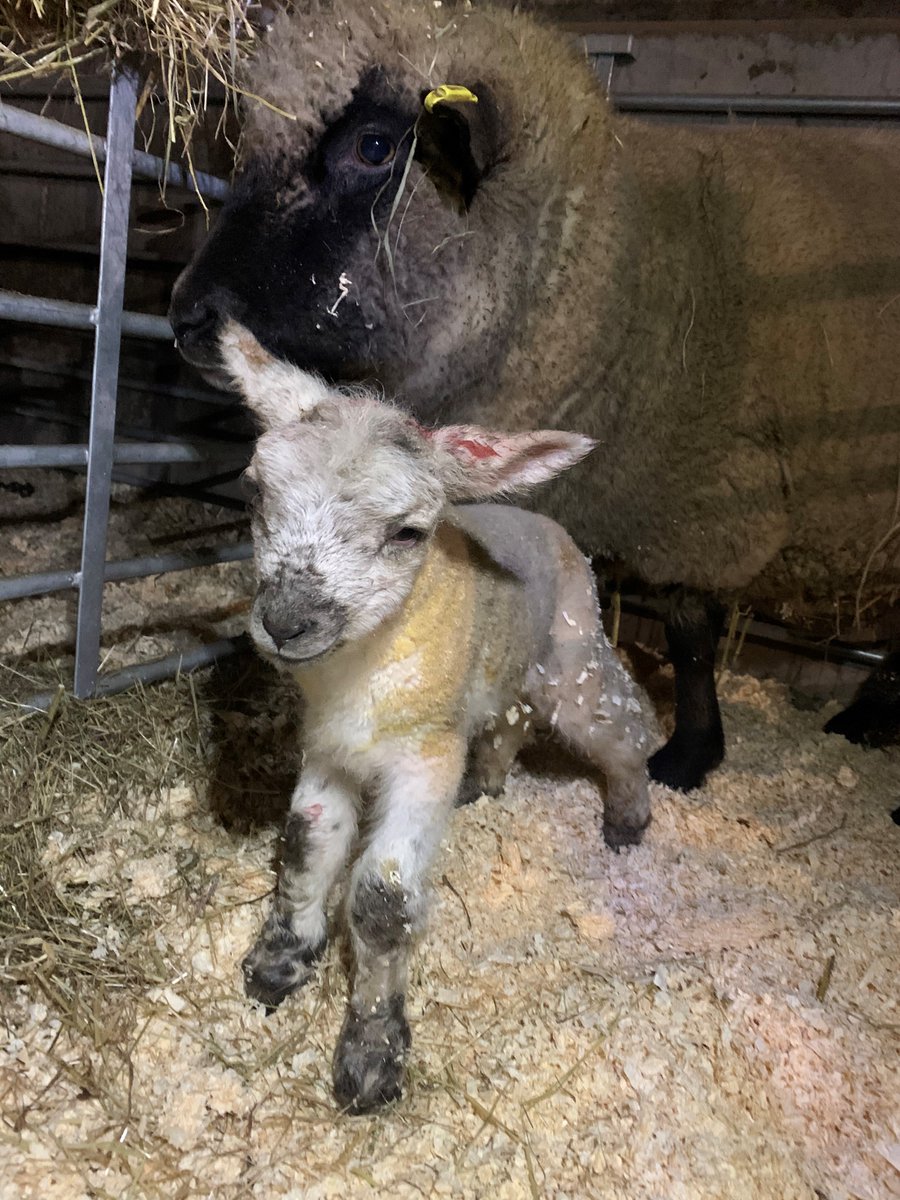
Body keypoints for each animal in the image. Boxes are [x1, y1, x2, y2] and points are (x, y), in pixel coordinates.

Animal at [169, 0, 900, 788]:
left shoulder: (706, 502)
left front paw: (689, 754)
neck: (621, 274)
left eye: (373, 146)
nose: (187, 317)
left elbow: (691, 635)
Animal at [220, 322, 654, 1113]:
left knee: (620, 725)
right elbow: (304, 846)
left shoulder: (425, 754)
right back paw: (487, 784)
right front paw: (279, 963)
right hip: (506, 670)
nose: (287, 623)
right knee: (511, 720)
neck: (366, 669)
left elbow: (383, 900)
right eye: (254, 491)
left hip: (574, 647)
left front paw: (371, 1056)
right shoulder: (327, 748)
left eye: (408, 533)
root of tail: (540, 518)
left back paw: (628, 816)